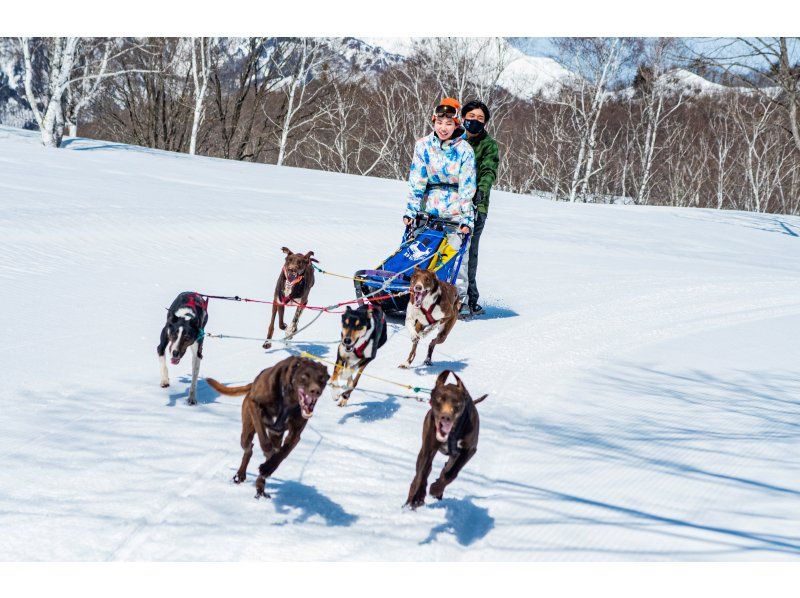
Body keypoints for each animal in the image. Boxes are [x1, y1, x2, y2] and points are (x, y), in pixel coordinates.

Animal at [209, 356, 332, 502]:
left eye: (322, 379)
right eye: (304, 377)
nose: (315, 391)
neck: (288, 399)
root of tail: (252, 384)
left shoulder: (295, 434)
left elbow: (282, 453)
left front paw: (268, 468)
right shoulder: (255, 405)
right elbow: (264, 439)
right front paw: (267, 451)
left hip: (276, 436)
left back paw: (260, 487)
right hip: (247, 431)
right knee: (248, 448)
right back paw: (241, 474)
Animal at [406, 372, 488, 508]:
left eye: (457, 402)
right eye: (439, 398)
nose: (446, 417)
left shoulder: (469, 450)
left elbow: (452, 473)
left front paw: (436, 488)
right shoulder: (428, 448)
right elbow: (422, 474)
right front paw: (416, 497)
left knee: (446, 469)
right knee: (421, 472)